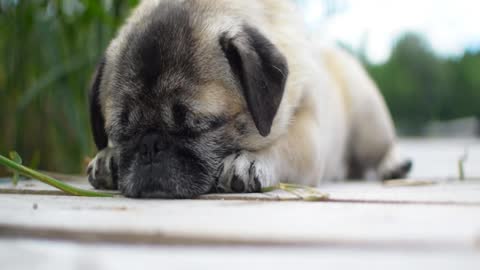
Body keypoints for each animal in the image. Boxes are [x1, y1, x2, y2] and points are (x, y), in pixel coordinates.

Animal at [85, 0, 408, 198]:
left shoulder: (307, 137)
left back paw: (395, 164)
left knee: (382, 147)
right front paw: (108, 158)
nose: (150, 145)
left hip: (369, 124)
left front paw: (250, 161)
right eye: (122, 133)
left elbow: (284, 145)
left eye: (198, 126)